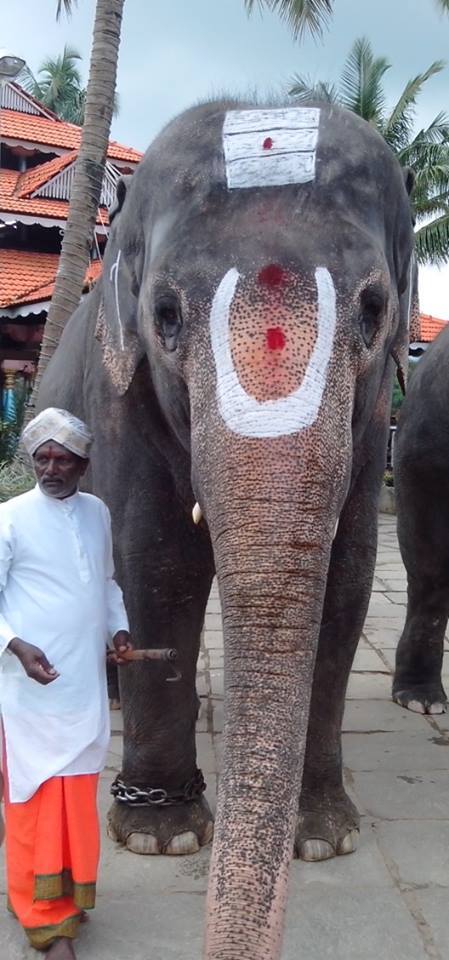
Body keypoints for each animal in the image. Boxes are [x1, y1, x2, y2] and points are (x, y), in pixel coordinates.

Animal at [38, 98, 415, 959]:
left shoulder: (371, 417)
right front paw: (164, 836)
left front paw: (323, 838)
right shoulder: (120, 391)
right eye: (166, 315)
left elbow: (346, 575)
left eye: (374, 309)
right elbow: (155, 560)